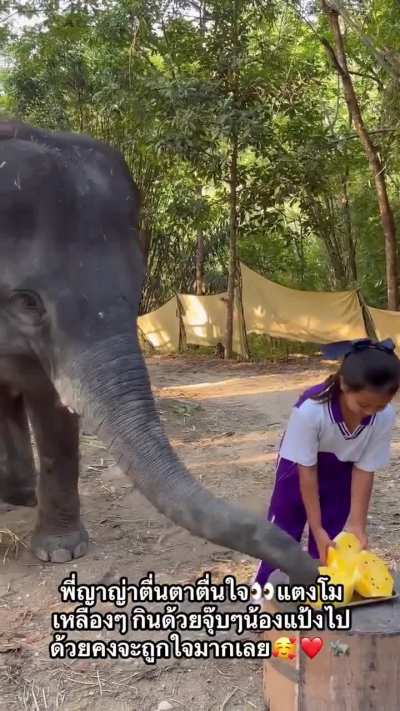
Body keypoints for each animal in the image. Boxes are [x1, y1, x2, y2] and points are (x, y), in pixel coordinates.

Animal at [0, 120, 318, 586]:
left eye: (136, 287)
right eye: (26, 302)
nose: (306, 575)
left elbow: (49, 403)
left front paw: (62, 551)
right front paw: (59, 550)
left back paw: (20, 495)